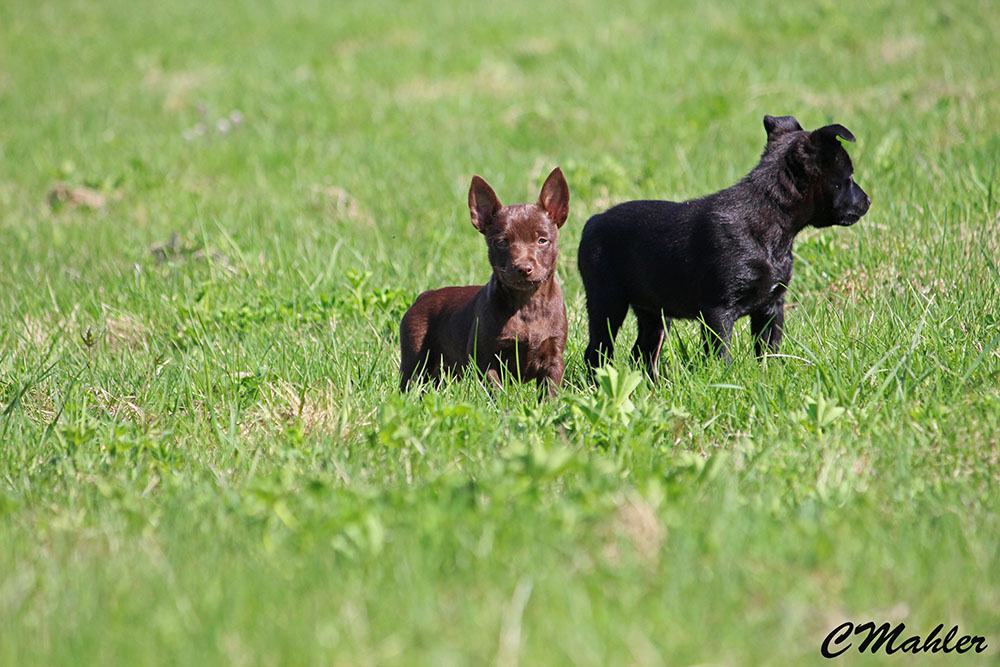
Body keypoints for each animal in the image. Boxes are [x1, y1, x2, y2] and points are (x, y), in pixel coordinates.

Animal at [400, 167, 570, 396]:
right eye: (502, 242)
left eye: (542, 241)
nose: (524, 267)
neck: (527, 305)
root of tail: (425, 295)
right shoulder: (485, 359)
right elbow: (497, 390)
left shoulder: (553, 358)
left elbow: (549, 392)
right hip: (416, 358)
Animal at [577, 115, 871, 379]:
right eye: (849, 177)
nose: (868, 200)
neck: (772, 224)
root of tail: (592, 221)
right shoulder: (718, 311)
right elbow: (722, 355)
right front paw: (725, 380)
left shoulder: (771, 307)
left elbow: (769, 350)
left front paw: (770, 377)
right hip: (607, 302)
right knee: (598, 352)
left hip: (654, 314)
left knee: (643, 353)